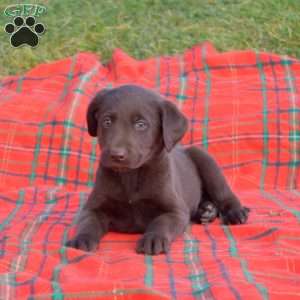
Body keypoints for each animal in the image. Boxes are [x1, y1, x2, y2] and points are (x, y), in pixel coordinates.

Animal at [67, 85, 250, 255]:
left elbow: (162, 222)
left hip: (205, 160)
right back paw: (206, 211)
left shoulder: (175, 211)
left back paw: (234, 212)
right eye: (107, 122)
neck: (131, 176)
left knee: (224, 194)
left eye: (141, 124)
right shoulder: (92, 208)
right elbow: (88, 223)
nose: (116, 155)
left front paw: (153, 238)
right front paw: (81, 238)